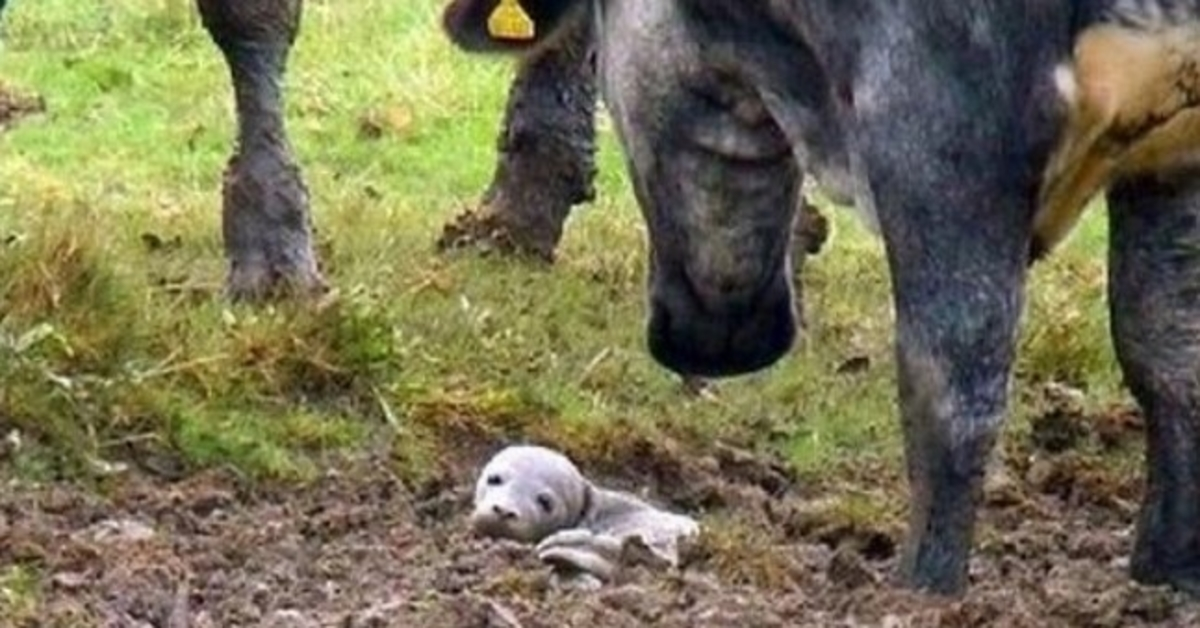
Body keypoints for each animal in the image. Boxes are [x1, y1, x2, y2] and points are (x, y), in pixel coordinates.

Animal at [446, 0, 1200, 600]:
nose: (710, 344)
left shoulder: (942, 126)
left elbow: (953, 384)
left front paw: (920, 594)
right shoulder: (1174, 150)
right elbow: (1166, 356)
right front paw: (1165, 578)